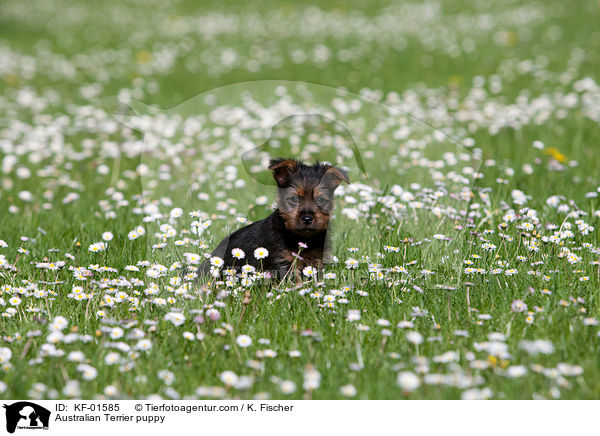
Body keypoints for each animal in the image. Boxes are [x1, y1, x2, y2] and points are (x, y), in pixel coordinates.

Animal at [202, 158, 350, 278]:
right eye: (294, 199)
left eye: (320, 200)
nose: (307, 219)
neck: (303, 239)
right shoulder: (283, 262)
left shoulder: (316, 261)